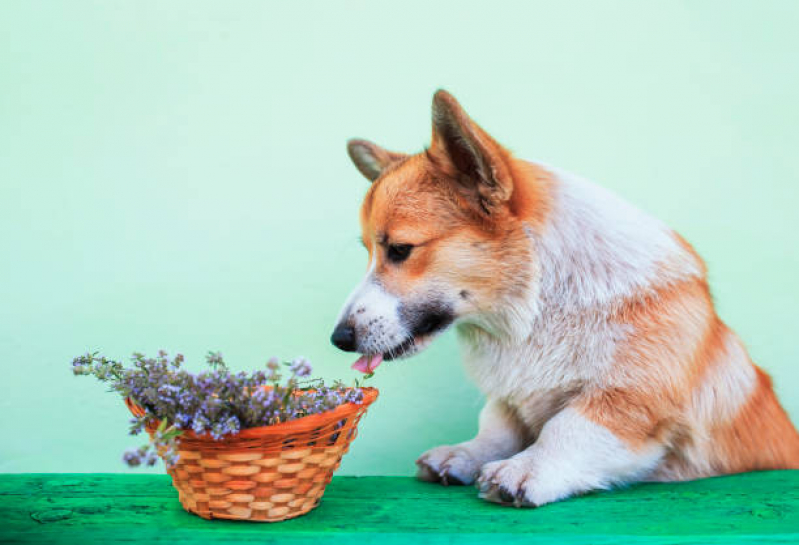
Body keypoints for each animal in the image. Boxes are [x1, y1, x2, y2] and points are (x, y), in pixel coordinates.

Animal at [332, 88, 799, 506]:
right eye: (368, 251)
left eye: (400, 250)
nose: (339, 339)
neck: (538, 303)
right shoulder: (509, 399)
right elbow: (496, 427)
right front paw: (464, 454)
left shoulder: (630, 401)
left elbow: (567, 427)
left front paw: (526, 470)